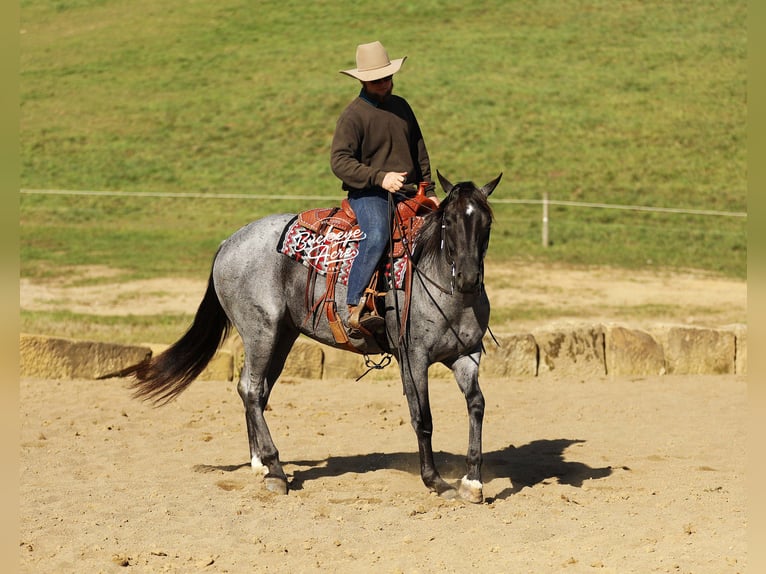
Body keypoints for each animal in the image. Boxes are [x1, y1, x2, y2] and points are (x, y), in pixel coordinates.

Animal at [124, 171, 502, 503]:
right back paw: (276, 471)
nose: (468, 278)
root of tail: (228, 242)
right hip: (261, 331)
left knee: (257, 391)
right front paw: (436, 481)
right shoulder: (413, 357)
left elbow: (477, 405)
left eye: (486, 223)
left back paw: (260, 464)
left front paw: (473, 481)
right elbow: (422, 418)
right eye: (448, 221)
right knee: (250, 389)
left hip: (282, 337)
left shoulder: (467, 355)